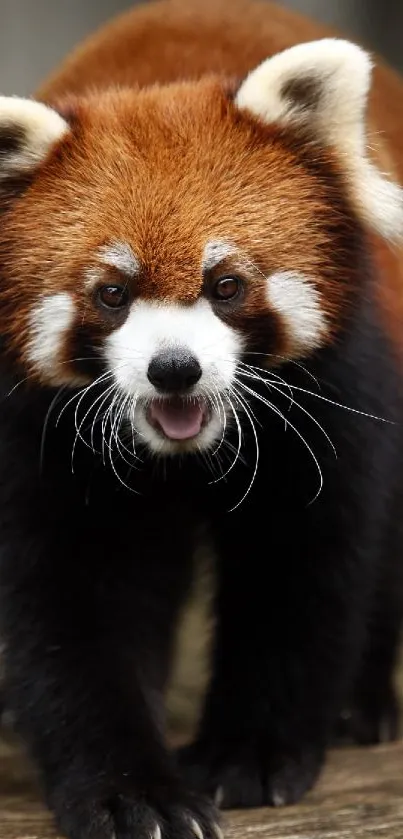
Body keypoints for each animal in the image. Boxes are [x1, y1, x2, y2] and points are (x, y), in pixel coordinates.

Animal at [0, 0, 403, 836]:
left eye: (225, 285)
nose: (174, 368)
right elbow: (76, 598)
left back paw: (363, 701)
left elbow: (301, 568)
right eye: (112, 293)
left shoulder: (337, 387)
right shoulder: (38, 429)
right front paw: (130, 790)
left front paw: (246, 755)